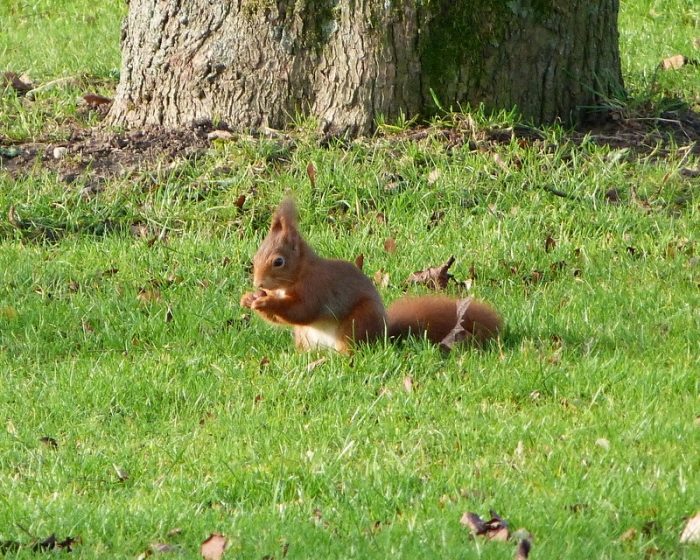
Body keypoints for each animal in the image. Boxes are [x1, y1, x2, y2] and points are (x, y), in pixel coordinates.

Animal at [240, 199, 502, 353]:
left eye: (279, 261)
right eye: (256, 256)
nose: (258, 283)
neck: (300, 273)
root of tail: (384, 333)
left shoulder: (318, 287)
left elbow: (304, 310)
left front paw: (265, 301)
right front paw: (249, 298)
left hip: (357, 323)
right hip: (304, 336)